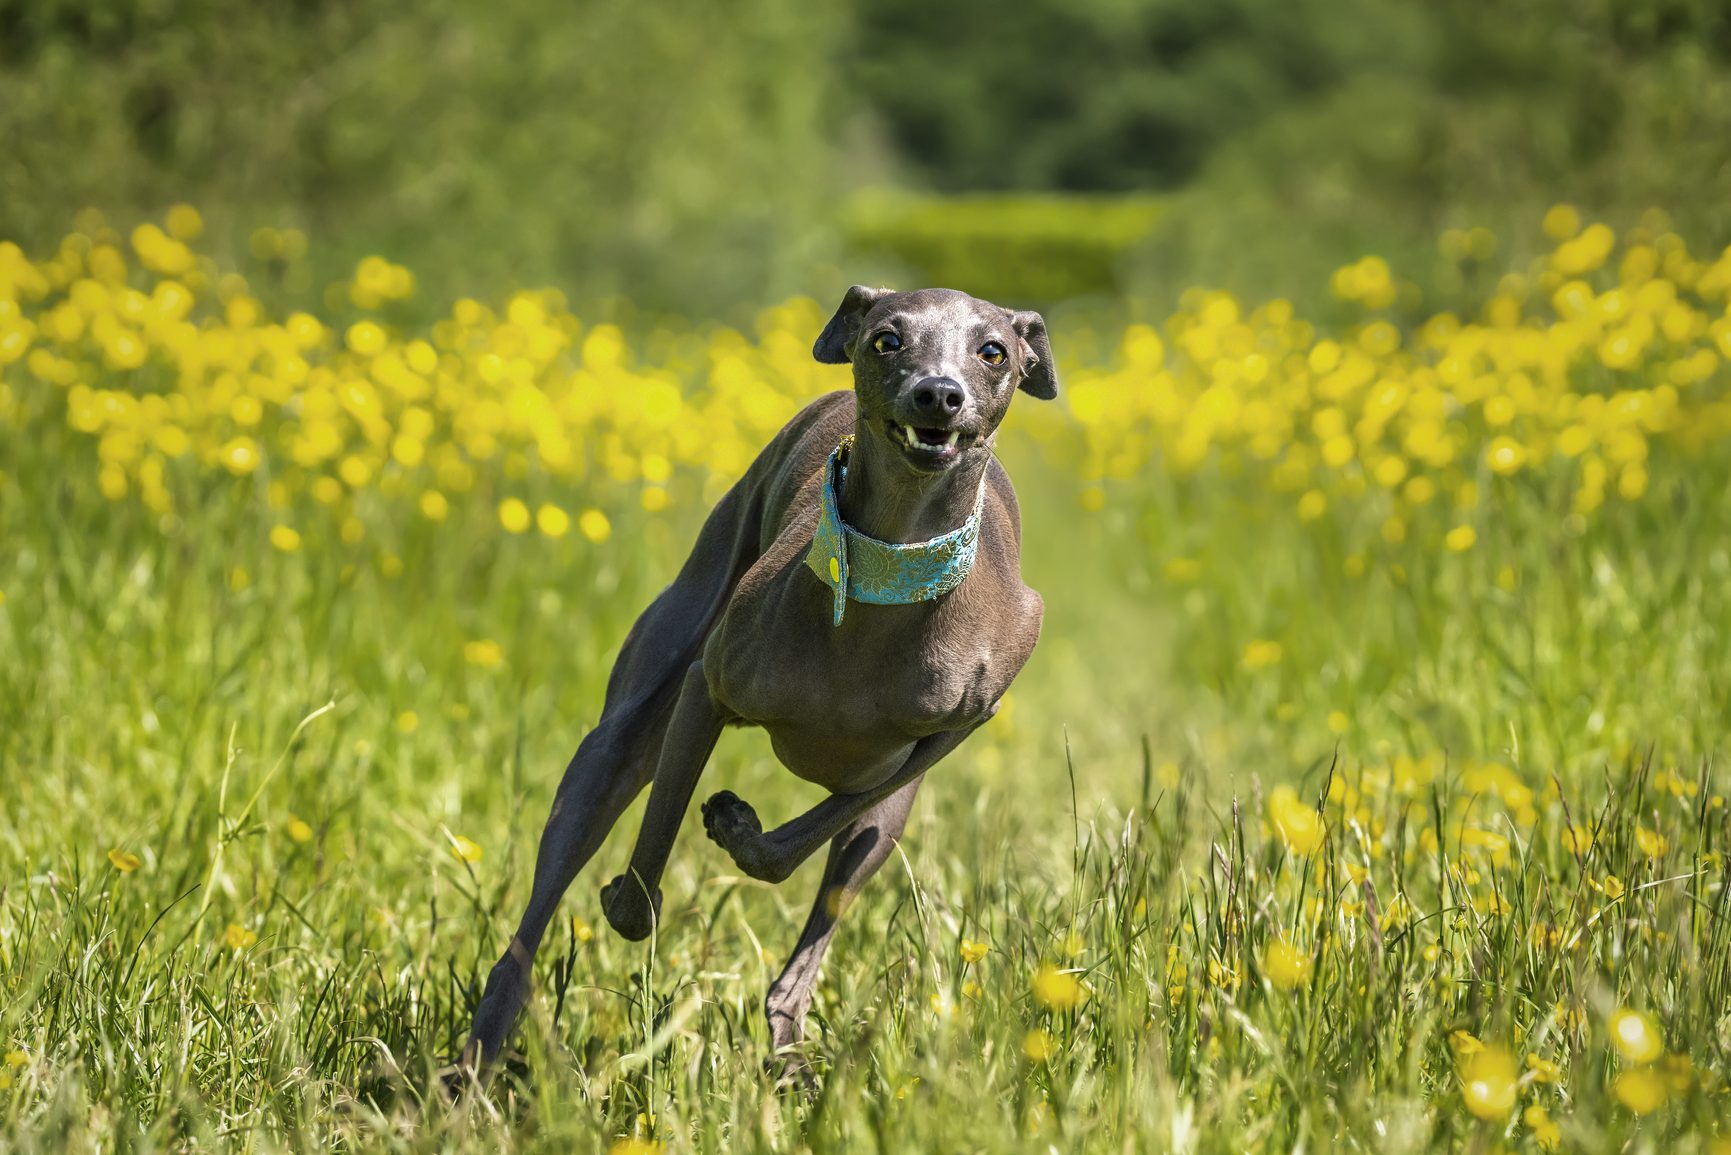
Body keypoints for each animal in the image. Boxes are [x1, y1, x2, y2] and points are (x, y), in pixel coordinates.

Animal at [460, 282, 1052, 1073]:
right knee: (538, 910)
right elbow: (642, 883)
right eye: (887, 339)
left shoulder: (957, 726)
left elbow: (796, 842)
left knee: (810, 941)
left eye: (993, 351)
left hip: (886, 826)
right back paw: (477, 1053)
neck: (885, 577)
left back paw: (788, 1046)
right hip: (625, 723)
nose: (938, 394)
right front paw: (631, 892)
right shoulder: (703, 692)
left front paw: (738, 828)